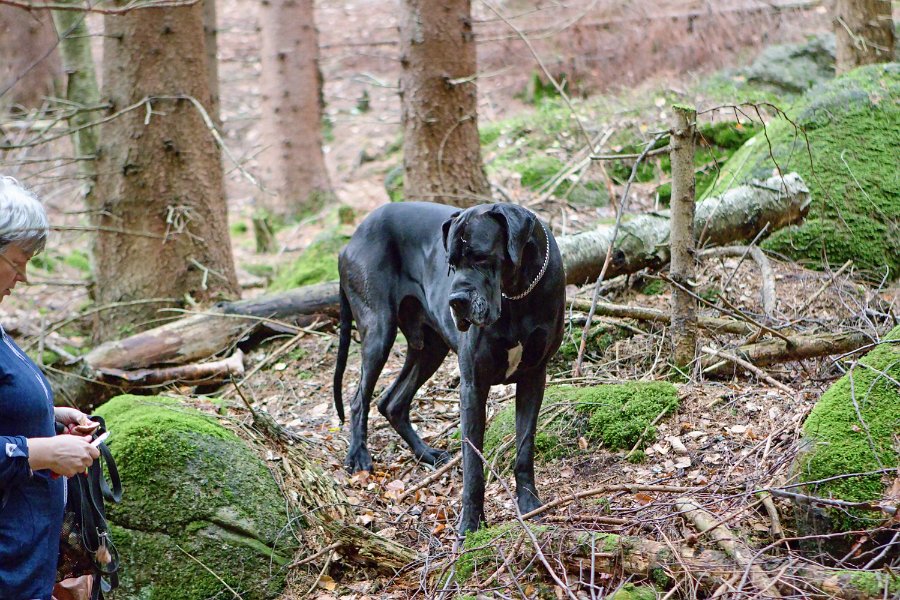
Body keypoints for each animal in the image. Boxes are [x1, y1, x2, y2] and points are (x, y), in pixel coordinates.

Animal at [334, 202, 568, 536]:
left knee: (391, 402)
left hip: (430, 348)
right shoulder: (473, 385)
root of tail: (351, 239)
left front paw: (530, 504)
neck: (517, 295)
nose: (455, 301)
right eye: (451, 264)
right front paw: (470, 523)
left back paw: (427, 453)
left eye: (481, 257)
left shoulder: (534, 376)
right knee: (359, 399)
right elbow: (473, 464)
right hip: (378, 329)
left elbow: (525, 447)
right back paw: (358, 456)